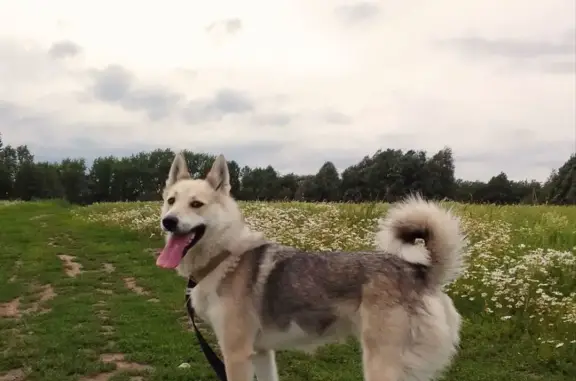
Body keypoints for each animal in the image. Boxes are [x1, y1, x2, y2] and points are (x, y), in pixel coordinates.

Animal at [155, 152, 466, 380]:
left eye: (196, 204)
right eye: (171, 201)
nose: (168, 221)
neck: (224, 256)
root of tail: (421, 273)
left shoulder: (236, 355)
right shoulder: (261, 353)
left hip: (382, 365)